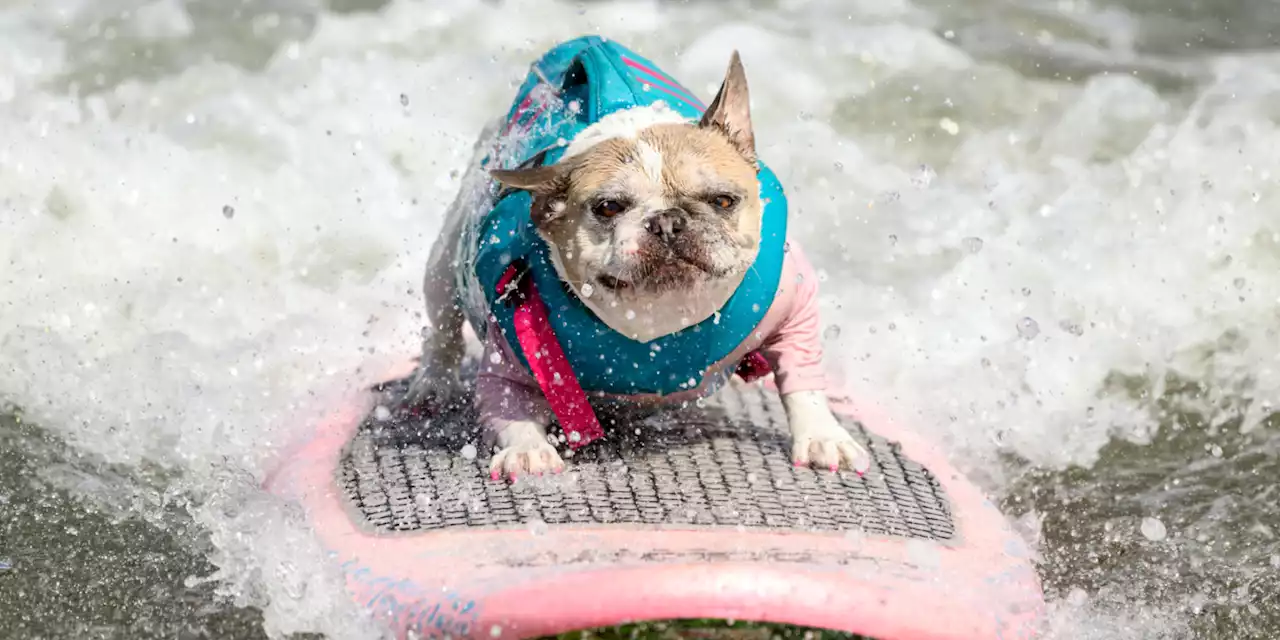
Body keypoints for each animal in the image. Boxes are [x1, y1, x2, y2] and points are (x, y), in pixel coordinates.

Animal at [404, 36, 875, 481]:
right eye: (608, 207)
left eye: (723, 200)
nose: (667, 221)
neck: (665, 318)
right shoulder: (515, 345)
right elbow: (508, 405)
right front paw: (527, 448)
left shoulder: (793, 305)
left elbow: (801, 375)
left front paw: (822, 436)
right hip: (446, 263)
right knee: (443, 331)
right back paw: (433, 385)